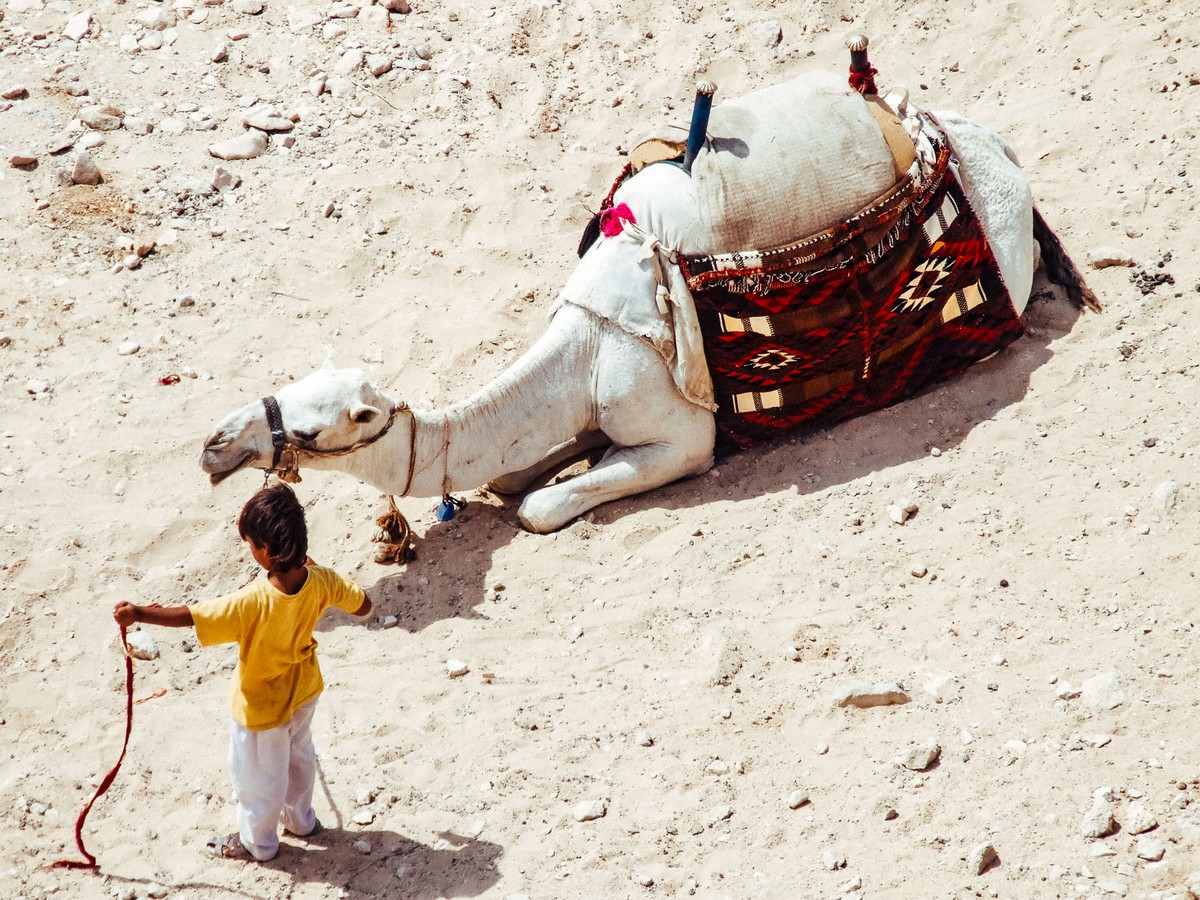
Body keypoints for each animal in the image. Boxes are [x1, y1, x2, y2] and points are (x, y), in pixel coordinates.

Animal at [204, 72, 1099, 535]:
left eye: (312, 432)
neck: (583, 351)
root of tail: (990, 148)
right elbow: (517, 474)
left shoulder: (680, 436)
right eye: (281, 390)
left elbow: (539, 506)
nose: (215, 446)